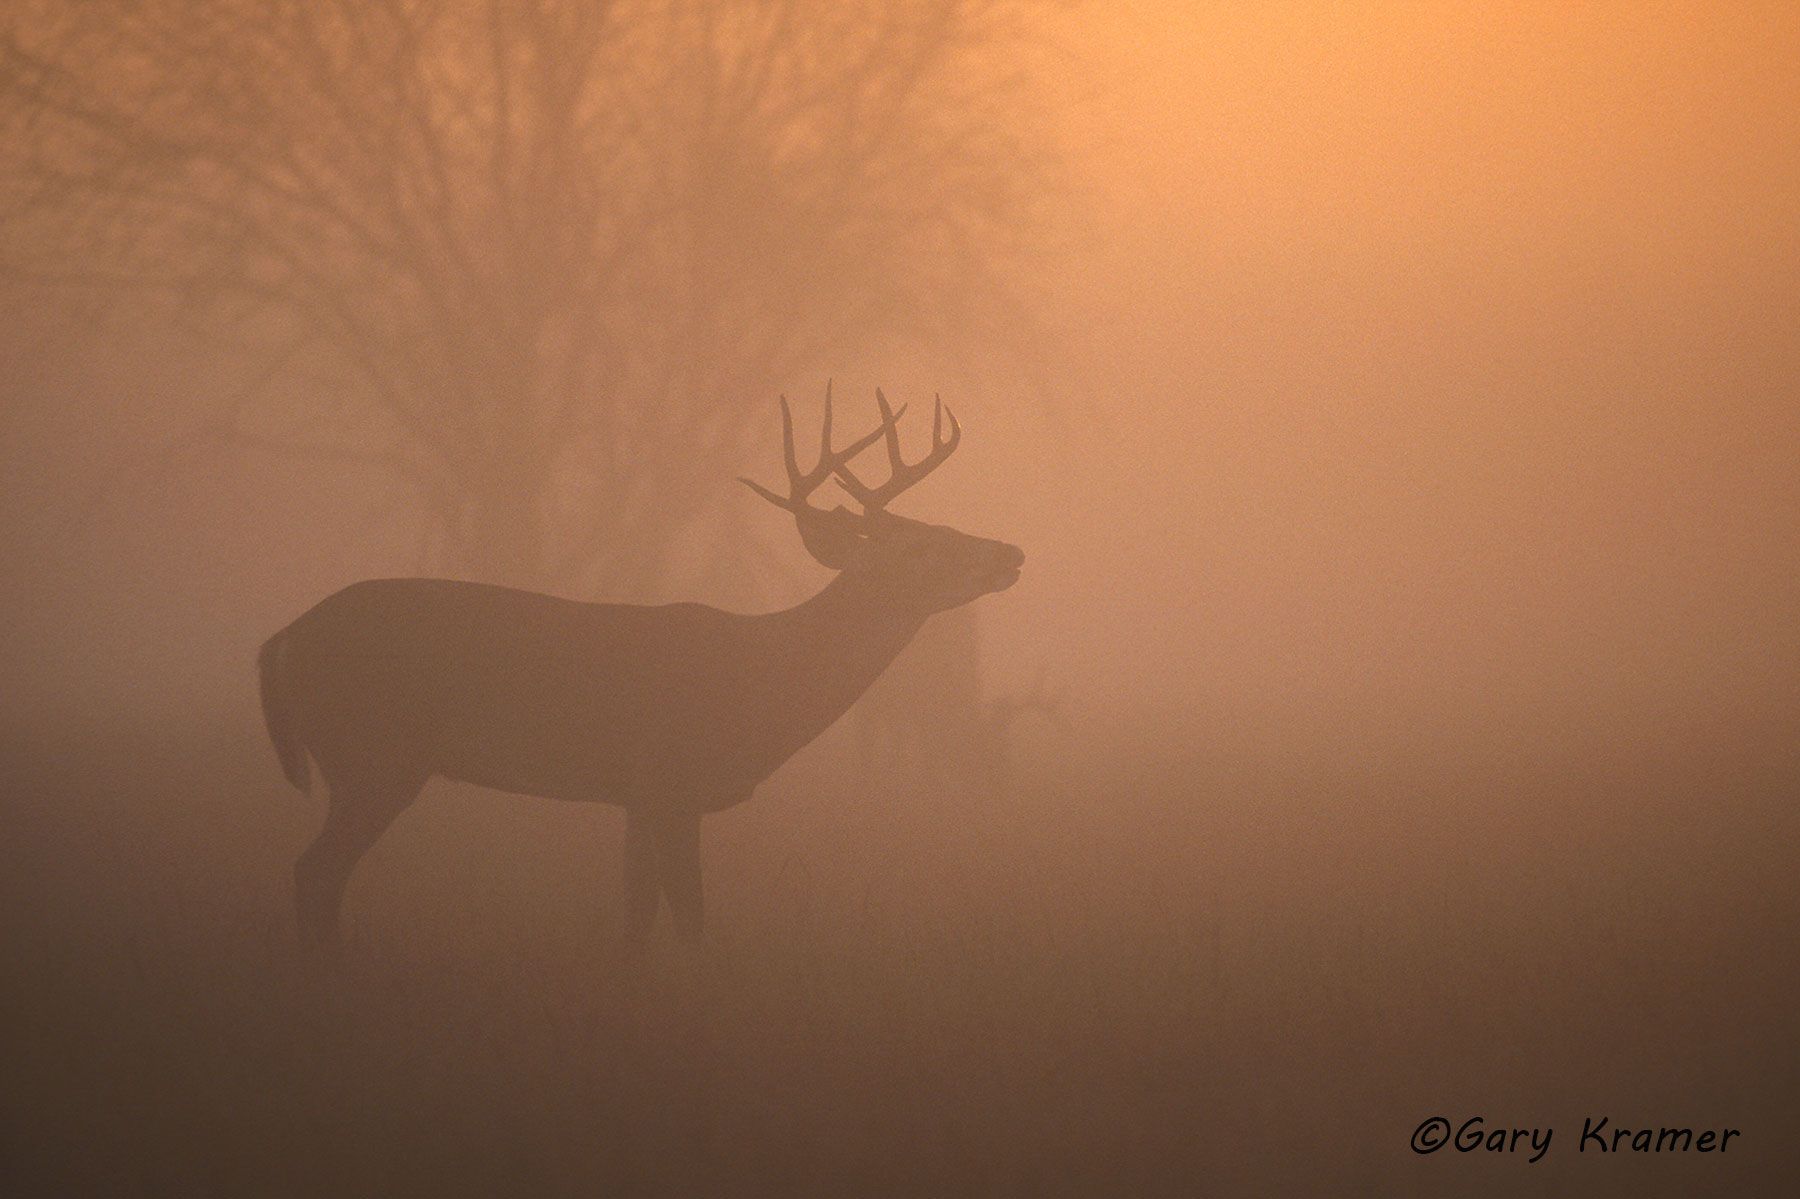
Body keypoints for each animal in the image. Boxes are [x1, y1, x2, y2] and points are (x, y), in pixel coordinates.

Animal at [258, 387, 1023, 948]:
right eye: (923, 545)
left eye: (941, 527)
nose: (1011, 552)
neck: (765, 680)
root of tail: (282, 638)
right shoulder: (673, 779)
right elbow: (691, 923)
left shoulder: (635, 797)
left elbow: (634, 922)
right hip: (373, 754)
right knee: (314, 873)